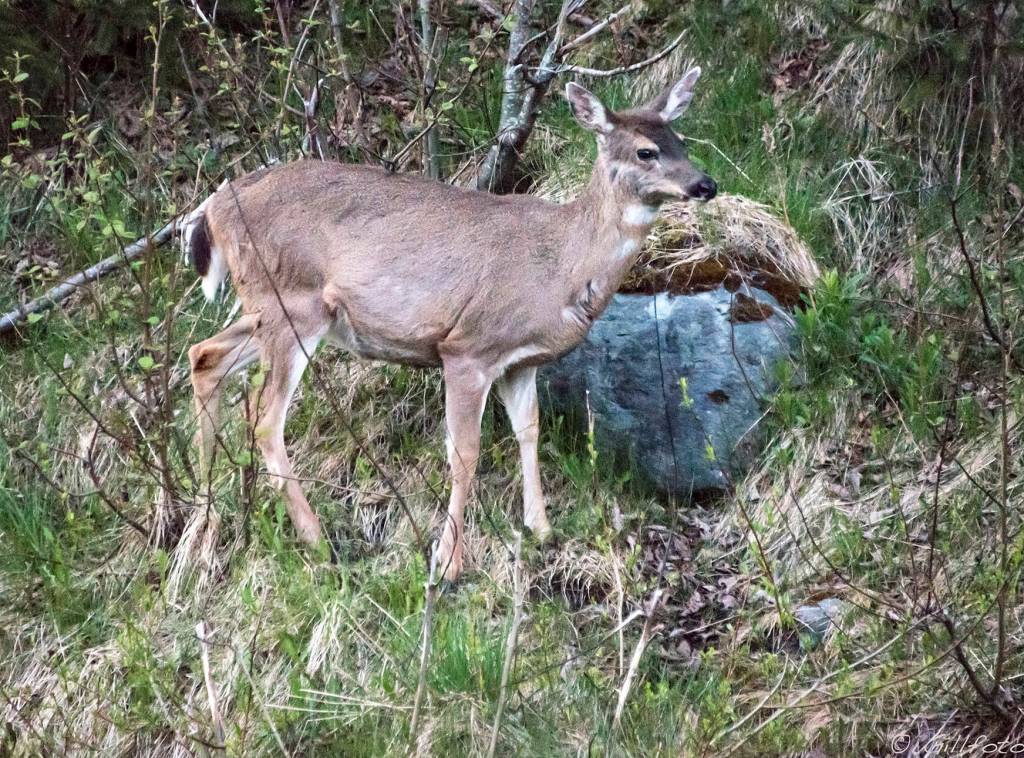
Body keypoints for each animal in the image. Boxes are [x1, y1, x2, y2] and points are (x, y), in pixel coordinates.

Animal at [183, 67, 716, 582]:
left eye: (680, 140)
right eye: (646, 151)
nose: (705, 185)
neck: (561, 267)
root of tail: (213, 208)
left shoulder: (521, 362)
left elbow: (529, 431)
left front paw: (541, 529)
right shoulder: (467, 348)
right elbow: (465, 453)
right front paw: (447, 563)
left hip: (271, 311)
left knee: (204, 355)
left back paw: (202, 527)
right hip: (293, 303)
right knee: (265, 419)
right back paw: (316, 541)